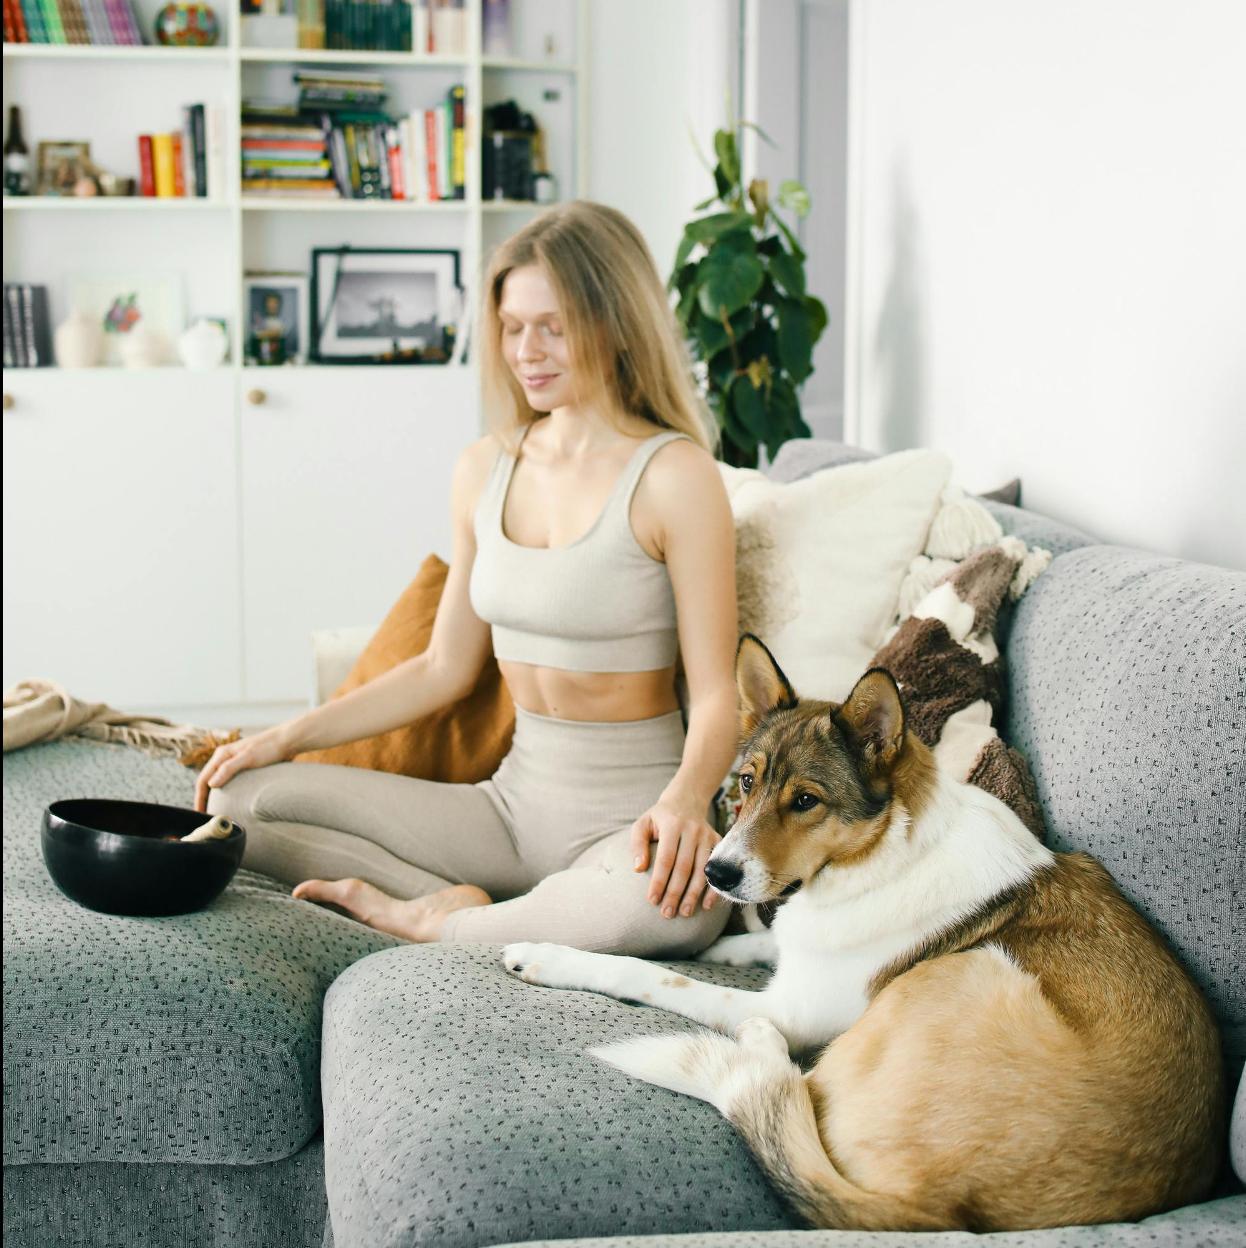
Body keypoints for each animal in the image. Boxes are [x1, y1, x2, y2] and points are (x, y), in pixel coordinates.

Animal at [501, 628, 1223, 1233]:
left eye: (806, 801)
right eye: (746, 783)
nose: (716, 872)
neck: (879, 854)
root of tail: (942, 1214)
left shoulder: (791, 1006)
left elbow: (653, 974)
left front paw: (547, 955)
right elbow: (760, 940)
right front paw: (726, 941)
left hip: (964, 971)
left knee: (784, 1084)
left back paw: (758, 1049)